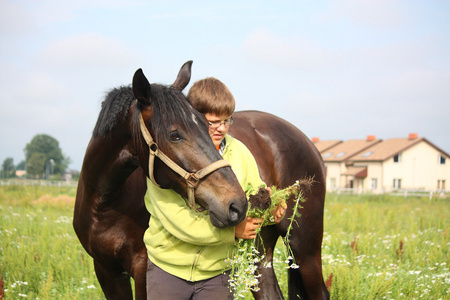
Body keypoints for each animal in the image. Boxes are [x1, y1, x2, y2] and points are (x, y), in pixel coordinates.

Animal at [72, 61, 328, 300]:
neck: (106, 203)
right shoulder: (108, 272)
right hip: (261, 249)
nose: (238, 205)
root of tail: (308, 142)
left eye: (207, 126)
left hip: (304, 246)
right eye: (175, 135)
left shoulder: (143, 268)